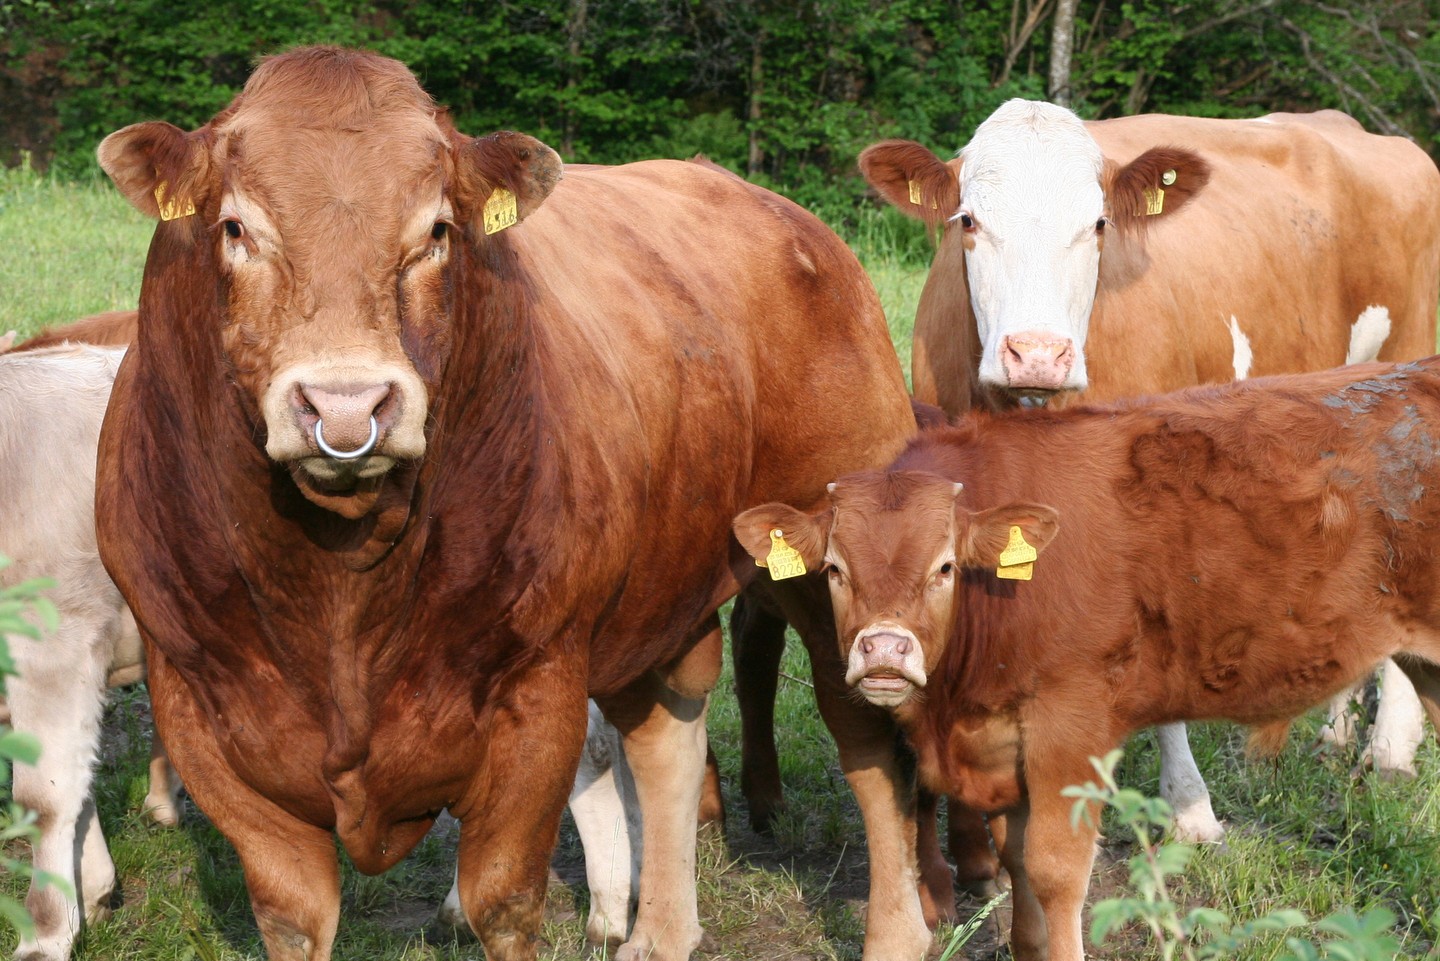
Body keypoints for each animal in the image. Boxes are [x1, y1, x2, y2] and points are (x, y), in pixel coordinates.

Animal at [92, 46, 930, 961]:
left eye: (436, 231)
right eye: (236, 228)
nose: (346, 407)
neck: (340, 584)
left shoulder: (540, 692)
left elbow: (501, 896)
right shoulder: (201, 711)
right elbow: (292, 912)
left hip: (835, 574)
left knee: (867, 741)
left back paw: (898, 932)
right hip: (656, 592)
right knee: (665, 735)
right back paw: (661, 932)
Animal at [734, 358, 1440, 961]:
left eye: (944, 566)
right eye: (834, 569)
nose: (884, 649)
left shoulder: (1071, 727)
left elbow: (1052, 869)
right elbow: (1014, 864)